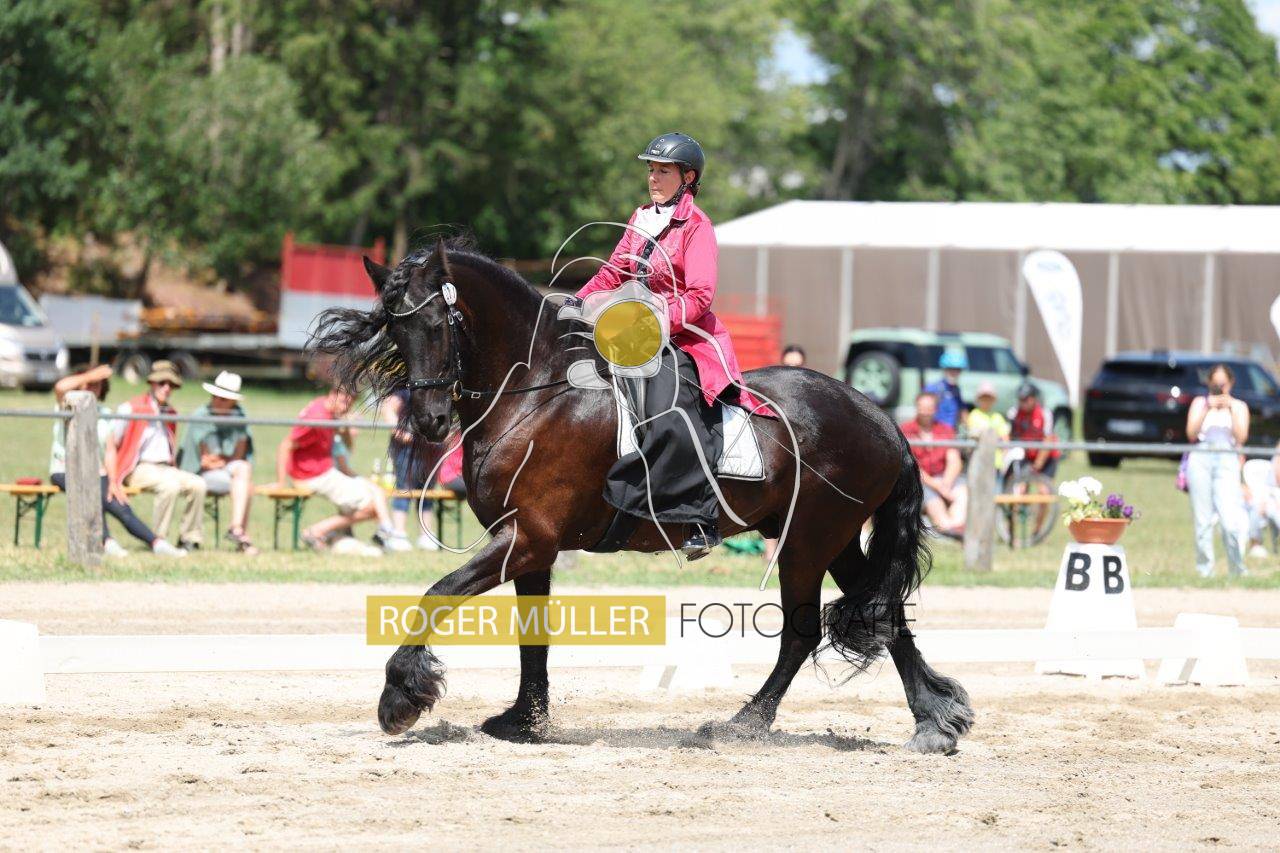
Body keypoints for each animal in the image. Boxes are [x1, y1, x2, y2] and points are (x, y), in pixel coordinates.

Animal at [312, 237, 973, 753]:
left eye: (439, 324)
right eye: (394, 328)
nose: (429, 422)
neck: (535, 390)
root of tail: (881, 419)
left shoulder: (526, 539)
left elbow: (437, 593)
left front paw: (401, 695)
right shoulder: (532, 547)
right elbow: (532, 635)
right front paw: (525, 721)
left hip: (807, 542)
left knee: (807, 631)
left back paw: (742, 725)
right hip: (830, 539)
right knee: (882, 614)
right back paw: (935, 721)